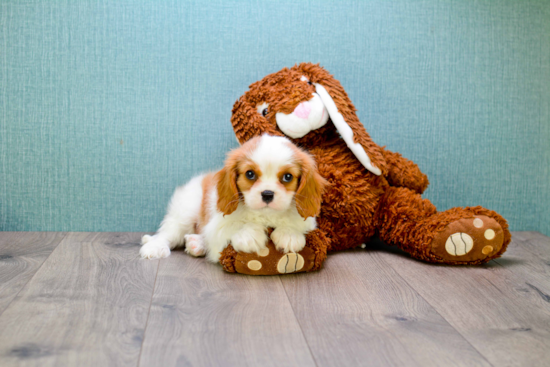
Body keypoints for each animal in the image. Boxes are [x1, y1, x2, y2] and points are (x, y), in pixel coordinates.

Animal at [140, 134, 328, 264]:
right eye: (250, 174)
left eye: (287, 177)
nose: (267, 193)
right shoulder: (216, 225)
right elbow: (234, 225)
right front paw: (249, 234)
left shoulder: (308, 223)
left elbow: (295, 225)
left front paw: (289, 234)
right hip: (186, 211)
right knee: (167, 234)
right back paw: (155, 247)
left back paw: (196, 244)